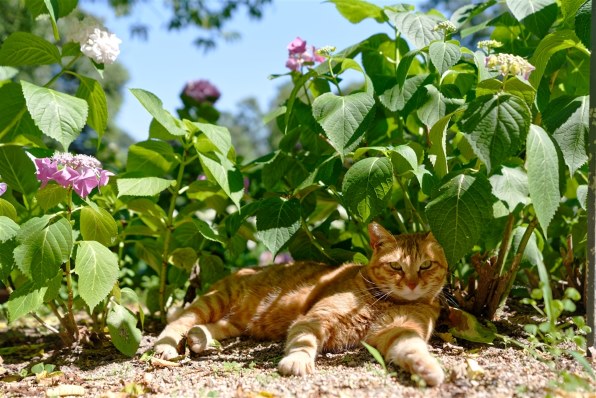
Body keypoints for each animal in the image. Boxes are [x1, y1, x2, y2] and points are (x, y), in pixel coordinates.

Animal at [154, 222, 448, 384]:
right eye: (396, 266)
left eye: (425, 265)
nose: (412, 283)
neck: (385, 302)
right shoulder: (316, 319)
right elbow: (303, 342)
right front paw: (296, 361)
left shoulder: (398, 329)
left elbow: (411, 347)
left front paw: (428, 369)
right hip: (215, 300)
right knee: (180, 320)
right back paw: (166, 347)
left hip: (237, 322)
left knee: (214, 326)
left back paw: (198, 338)